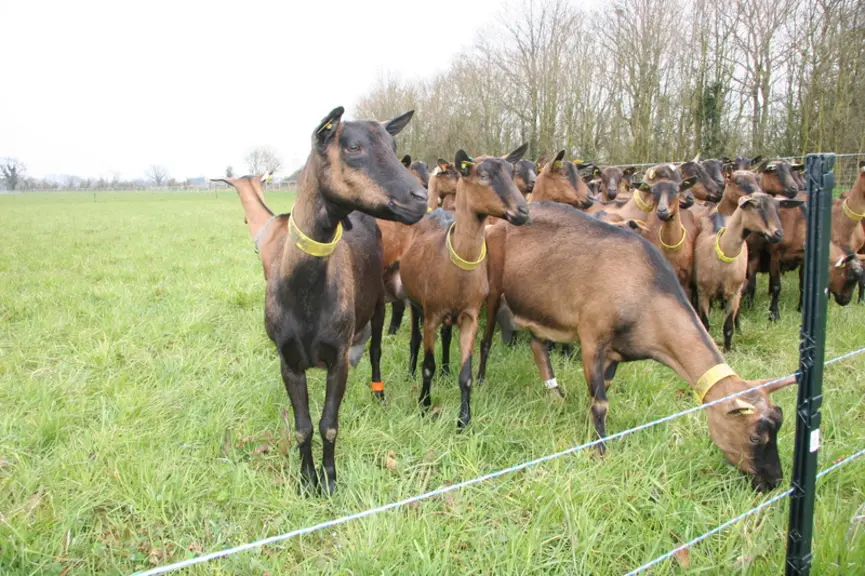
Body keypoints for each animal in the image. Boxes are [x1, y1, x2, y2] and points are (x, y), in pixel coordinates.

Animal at [218, 107, 427, 494]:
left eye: (393, 146)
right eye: (353, 146)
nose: (420, 198)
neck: (305, 294)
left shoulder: (338, 358)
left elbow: (329, 423)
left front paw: (329, 480)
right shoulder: (288, 361)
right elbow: (303, 427)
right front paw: (306, 480)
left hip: (377, 304)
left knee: (376, 349)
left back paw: (377, 391)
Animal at [400, 145, 529, 430]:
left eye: (511, 171)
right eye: (482, 174)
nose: (524, 211)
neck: (457, 265)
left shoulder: (470, 316)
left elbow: (466, 374)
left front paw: (464, 420)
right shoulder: (432, 314)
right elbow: (428, 365)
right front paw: (424, 405)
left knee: (447, 337)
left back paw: (447, 369)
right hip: (414, 303)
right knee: (414, 340)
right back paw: (410, 373)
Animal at [477, 201, 796, 490]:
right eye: (754, 436)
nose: (773, 482)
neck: (646, 291)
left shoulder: (617, 353)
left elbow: (601, 393)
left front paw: (592, 431)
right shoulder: (592, 339)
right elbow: (601, 402)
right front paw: (600, 453)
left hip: (541, 306)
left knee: (538, 346)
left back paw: (556, 396)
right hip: (492, 289)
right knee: (486, 340)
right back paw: (480, 381)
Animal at [694, 191, 801, 350]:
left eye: (777, 208)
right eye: (756, 206)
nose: (778, 234)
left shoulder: (734, 294)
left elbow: (728, 327)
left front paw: (727, 350)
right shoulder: (703, 293)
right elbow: (705, 325)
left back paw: (739, 330)